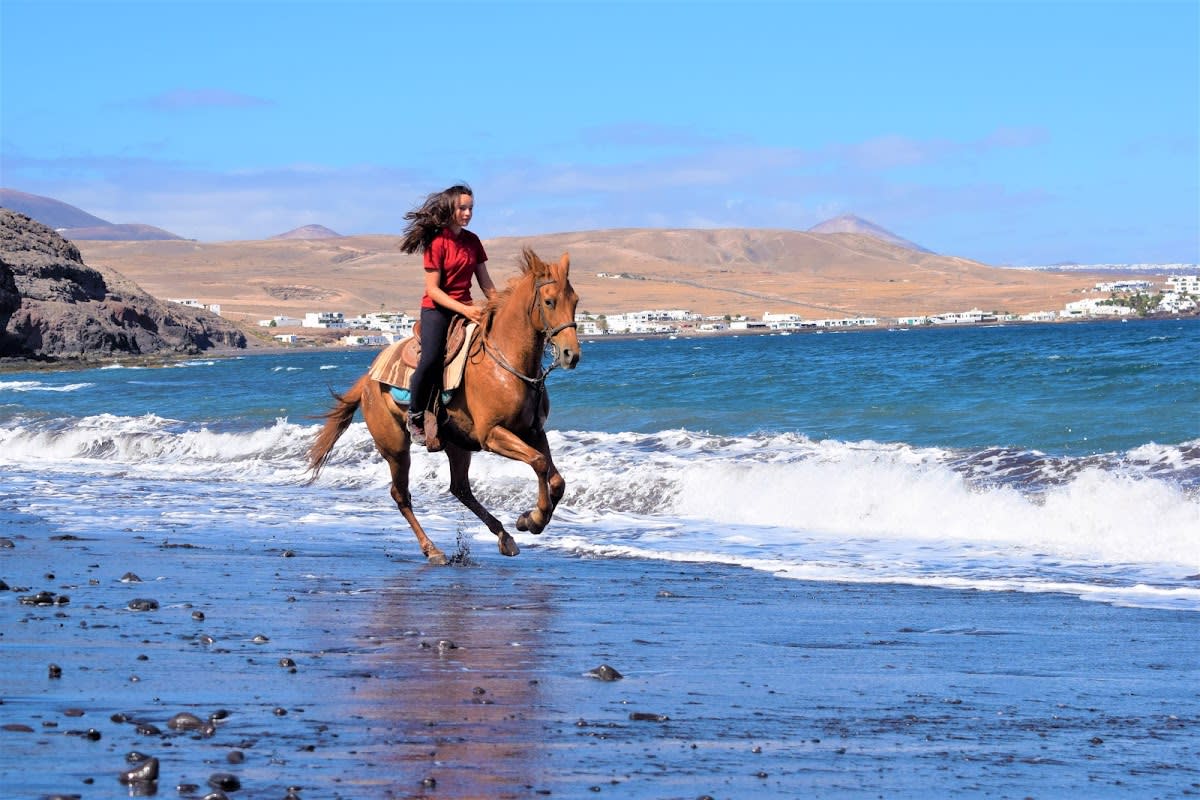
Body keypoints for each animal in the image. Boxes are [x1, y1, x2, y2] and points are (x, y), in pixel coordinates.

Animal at [306, 248, 581, 564]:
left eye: (575, 301)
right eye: (549, 301)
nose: (571, 354)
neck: (508, 362)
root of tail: (368, 379)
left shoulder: (533, 432)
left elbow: (556, 479)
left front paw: (529, 520)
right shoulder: (493, 435)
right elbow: (538, 462)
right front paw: (533, 519)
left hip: (457, 444)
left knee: (460, 488)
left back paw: (504, 537)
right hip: (395, 448)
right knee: (401, 495)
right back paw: (433, 549)